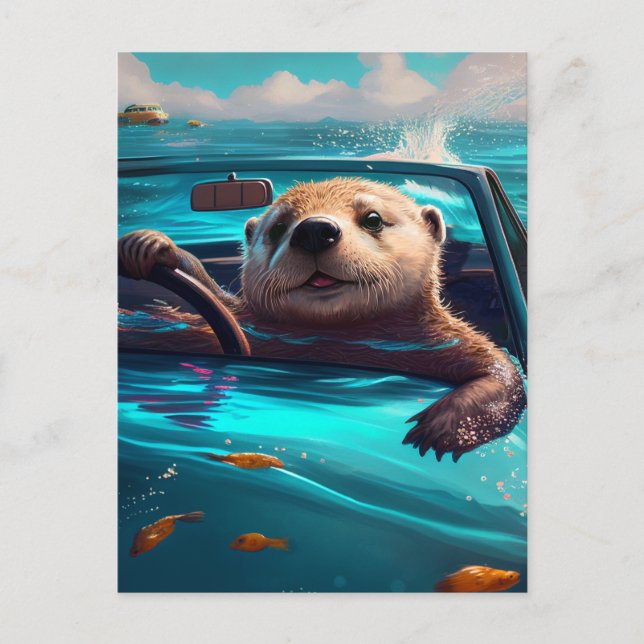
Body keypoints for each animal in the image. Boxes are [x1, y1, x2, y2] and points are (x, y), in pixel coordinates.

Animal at [119, 177, 526, 462]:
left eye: (373, 218)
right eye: (278, 228)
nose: (314, 229)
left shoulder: (438, 339)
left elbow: (502, 371)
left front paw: (446, 427)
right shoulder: (244, 319)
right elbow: (217, 297)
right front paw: (151, 246)